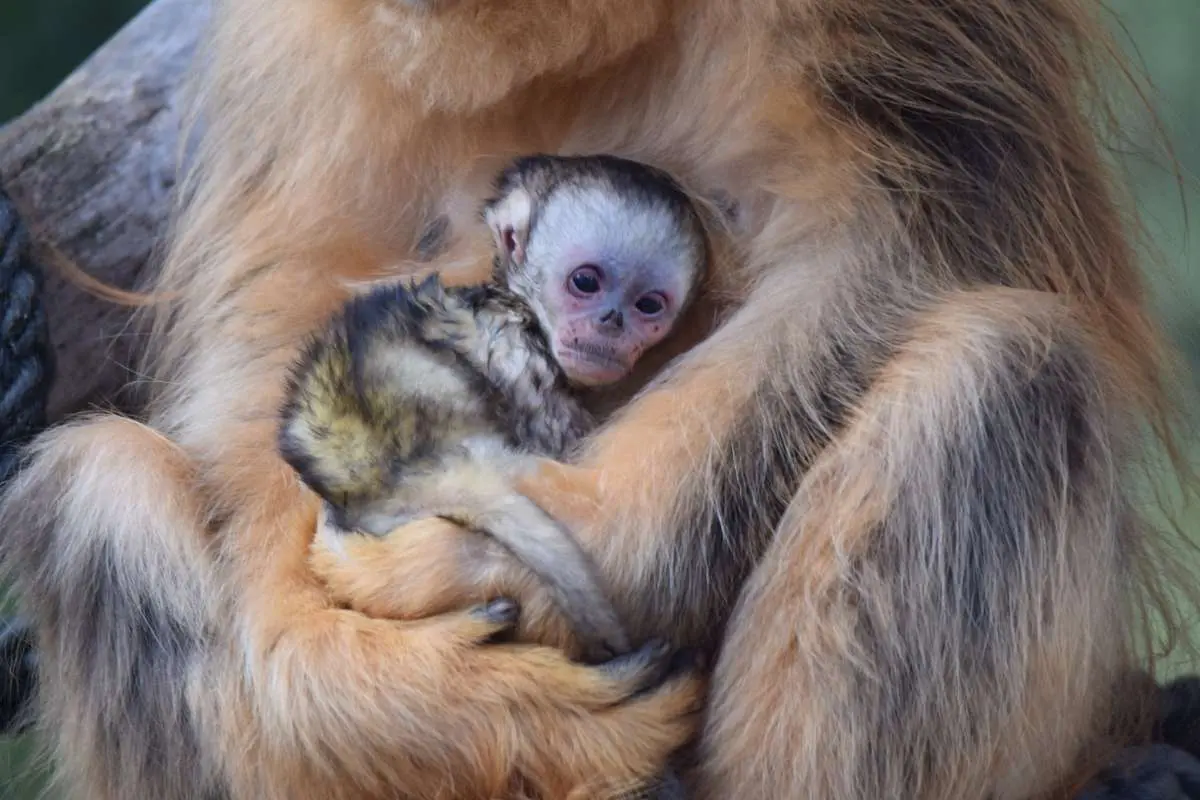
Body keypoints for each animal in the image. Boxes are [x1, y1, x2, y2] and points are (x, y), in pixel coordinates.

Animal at [278, 153, 709, 663]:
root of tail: (404, 469)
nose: (612, 322)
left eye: (648, 305)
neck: (518, 303)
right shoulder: (513, 345)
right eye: (586, 281)